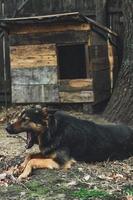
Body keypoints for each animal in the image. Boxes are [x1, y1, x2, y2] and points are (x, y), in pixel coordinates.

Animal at [5, 106, 133, 180]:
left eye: (25, 119)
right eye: (18, 117)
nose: (6, 128)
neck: (53, 130)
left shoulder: (61, 162)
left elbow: (33, 160)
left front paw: (24, 173)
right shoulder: (49, 152)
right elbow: (30, 155)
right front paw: (21, 166)